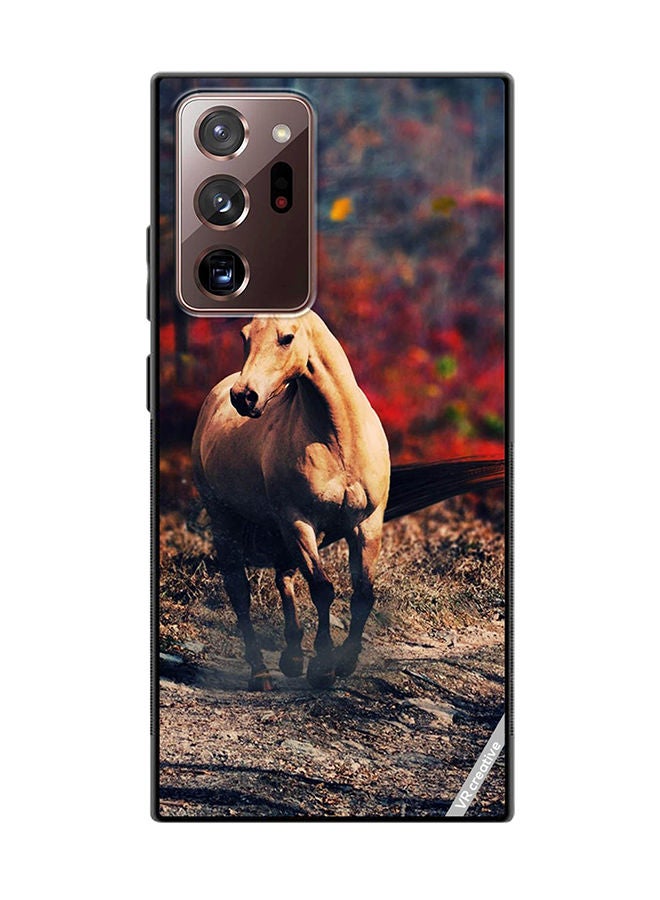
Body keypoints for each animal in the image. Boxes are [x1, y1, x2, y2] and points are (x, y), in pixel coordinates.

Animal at [192, 311, 390, 691]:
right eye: (245, 336)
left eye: (286, 338)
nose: (244, 397)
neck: (338, 437)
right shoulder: (299, 521)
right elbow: (322, 588)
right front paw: (323, 668)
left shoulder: (367, 523)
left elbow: (363, 593)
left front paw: (346, 661)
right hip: (228, 520)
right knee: (239, 591)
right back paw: (261, 673)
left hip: (281, 528)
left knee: (283, 576)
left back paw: (293, 657)